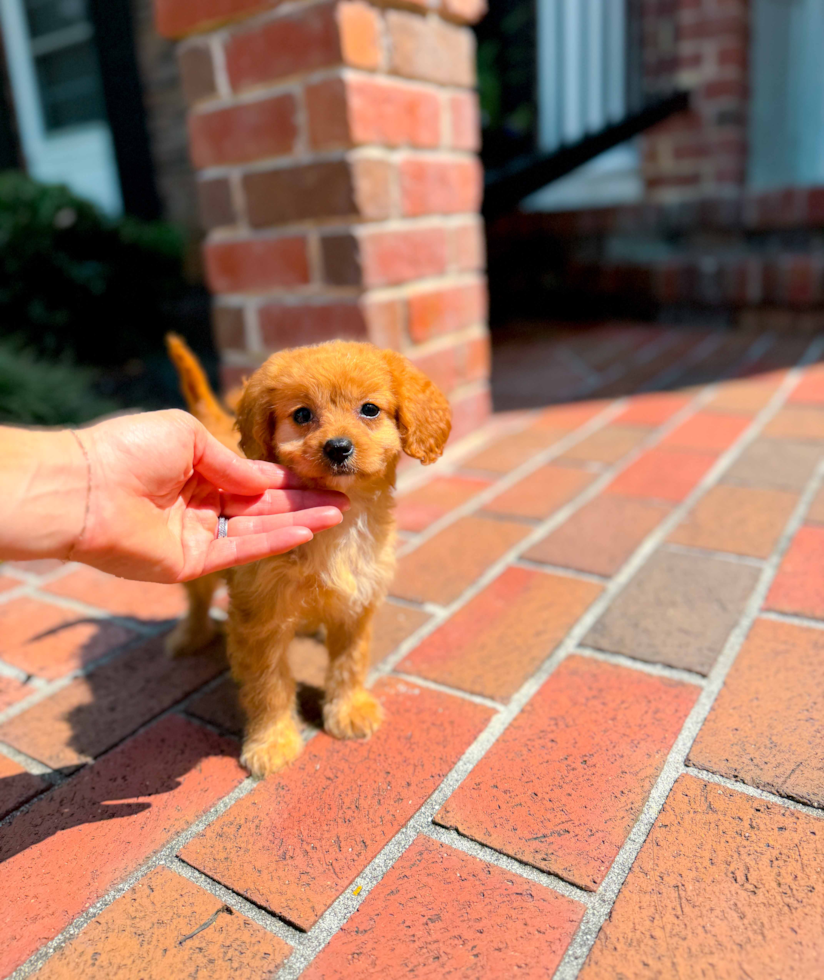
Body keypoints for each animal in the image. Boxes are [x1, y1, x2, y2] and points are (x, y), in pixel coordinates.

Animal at [166, 336, 450, 772]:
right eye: (302, 414)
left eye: (370, 409)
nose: (338, 448)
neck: (341, 525)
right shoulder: (259, 620)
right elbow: (269, 685)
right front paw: (272, 741)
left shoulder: (357, 602)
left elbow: (349, 662)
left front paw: (348, 709)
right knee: (197, 601)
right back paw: (190, 635)